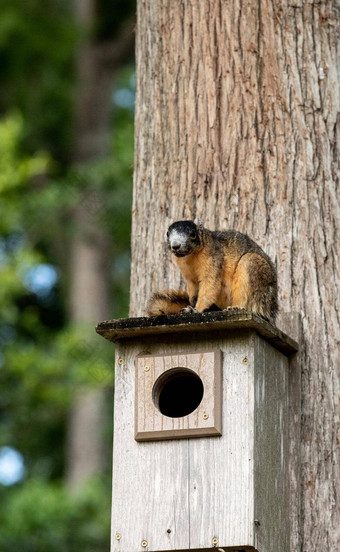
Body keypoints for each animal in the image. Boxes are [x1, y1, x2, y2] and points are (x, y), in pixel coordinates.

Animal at [147, 221, 278, 324]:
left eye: (192, 234)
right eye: (167, 234)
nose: (175, 245)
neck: (191, 256)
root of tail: (271, 310)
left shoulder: (213, 258)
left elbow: (209, 285)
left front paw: (196, 310)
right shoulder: (189, 276)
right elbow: (194, 290)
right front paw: (191, 305)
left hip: (253, 269)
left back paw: (235, 308)